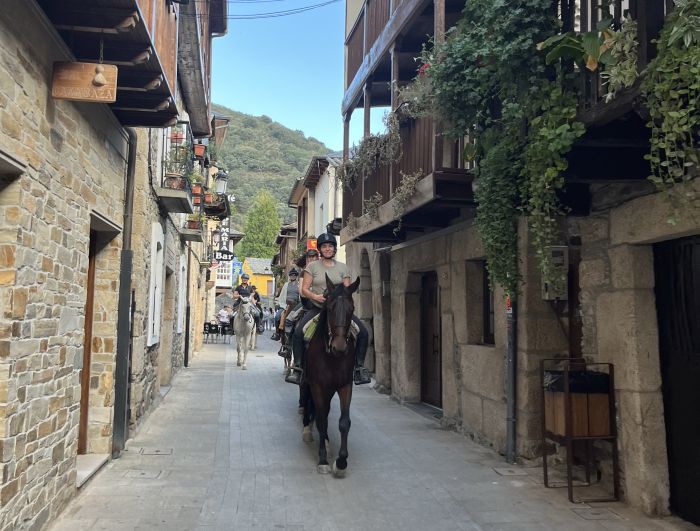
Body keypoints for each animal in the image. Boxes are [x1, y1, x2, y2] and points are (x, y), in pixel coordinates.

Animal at [304, 276, 360, 476]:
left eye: (352, 308)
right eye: (330, 307)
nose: (340, 347)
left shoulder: (345, 385)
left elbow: (344, 422)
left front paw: (341, 462)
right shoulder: (317, 385)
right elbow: (321, 420)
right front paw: (322, 460)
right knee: (308, 404)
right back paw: (307, 431)